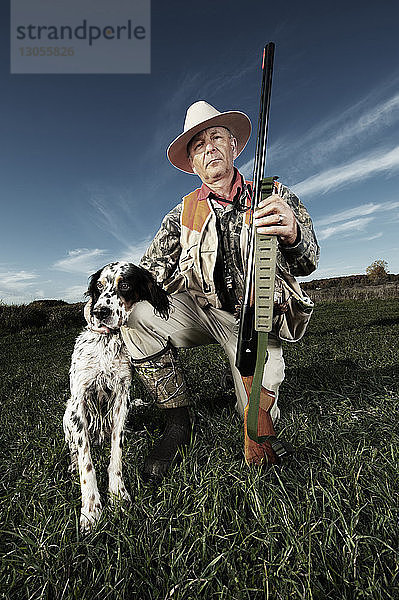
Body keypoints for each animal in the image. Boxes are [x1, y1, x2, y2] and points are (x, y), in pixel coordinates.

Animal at [63, 260, 170, 532]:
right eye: (99, 287)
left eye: (125, 285)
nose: (99, 311)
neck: (108, 342)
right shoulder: (79, 400)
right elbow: (86, 463)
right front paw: (91, 510)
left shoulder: (123, 398)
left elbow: (116, 456)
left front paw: (118, 495)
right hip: (68, 413)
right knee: (73, 447)